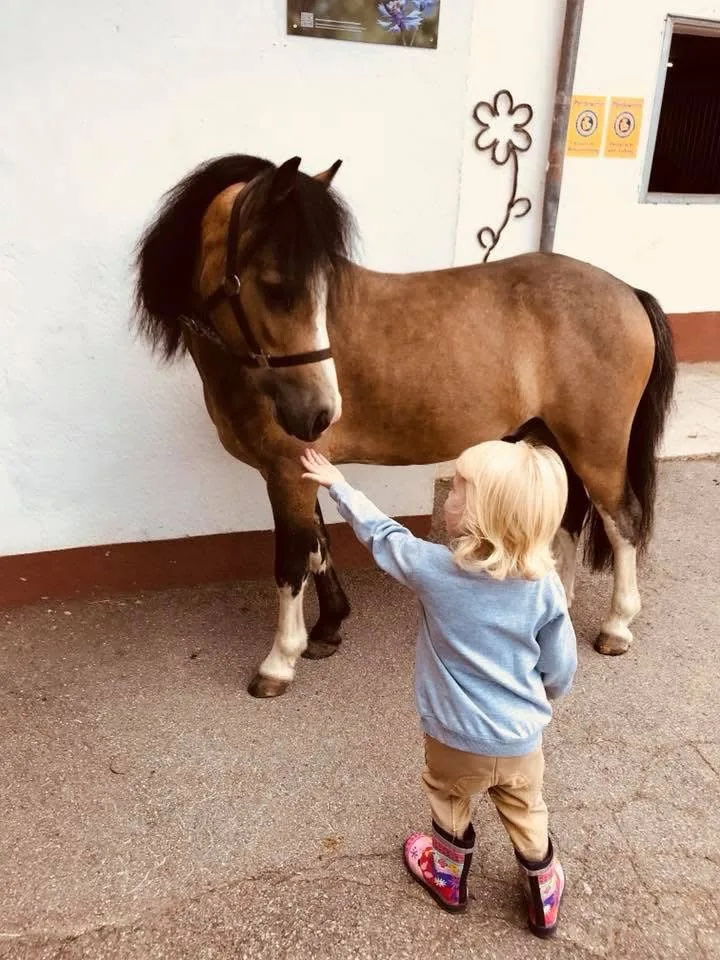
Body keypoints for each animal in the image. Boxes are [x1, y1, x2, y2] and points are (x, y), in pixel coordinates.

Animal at [134, 153, 676, 699]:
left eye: (306, 287)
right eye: (275, 287)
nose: (321, 412)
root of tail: (627, 291)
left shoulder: (286, 473)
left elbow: (291, 562)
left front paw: (279, 662)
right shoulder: (302, 468)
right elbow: (319, 546)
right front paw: (327, 629)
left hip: (597, 447)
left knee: (622, 521)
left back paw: (616, 626)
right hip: (552, 436)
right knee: (568, 517)